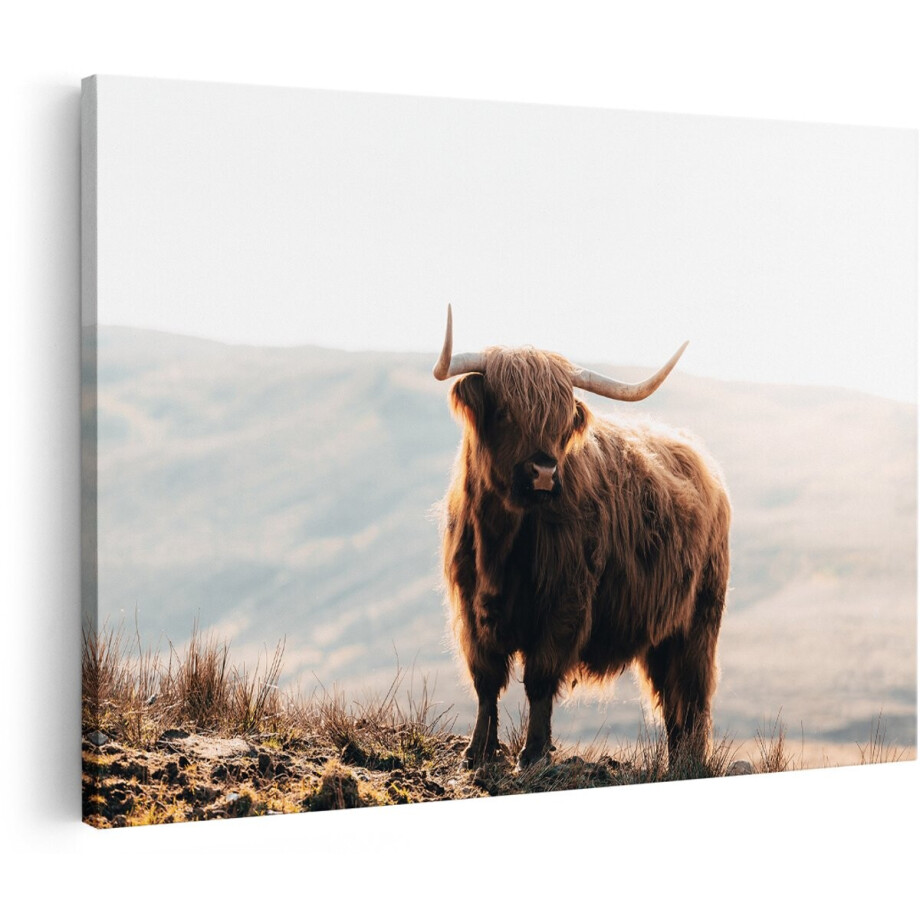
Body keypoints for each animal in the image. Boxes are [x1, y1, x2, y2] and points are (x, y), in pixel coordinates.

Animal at [434, 305, 730, 770]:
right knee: (671, 699)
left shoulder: (565, 602)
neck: (500, 541)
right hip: (663, 632)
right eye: (505, 413)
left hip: (699, 621)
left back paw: (690, 764)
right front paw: (477, 752)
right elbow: (486, 680)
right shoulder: (469, 608)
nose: (543, 472)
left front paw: (533, 753)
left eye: (559, 423)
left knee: (690, 694)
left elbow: (539, 678)